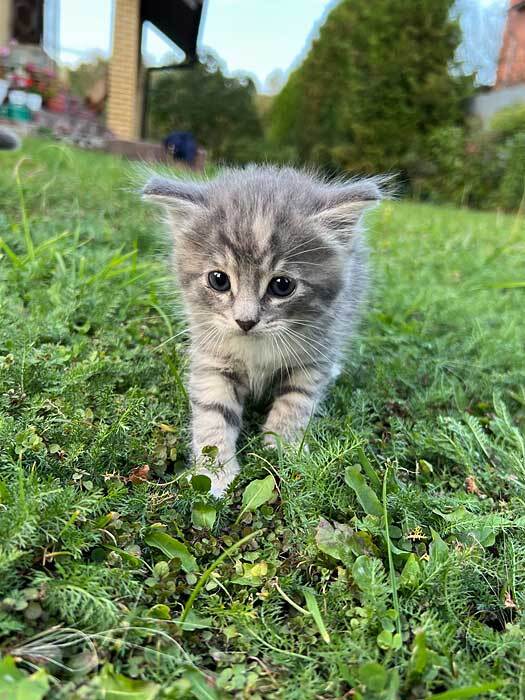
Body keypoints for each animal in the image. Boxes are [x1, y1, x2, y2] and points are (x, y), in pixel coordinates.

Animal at [143, 168, 380, 498]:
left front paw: (281, 450)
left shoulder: (314, 353)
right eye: (218, 280)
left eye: (282, 285)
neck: (256, 347)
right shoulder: (213, 359)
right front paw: (214, 472)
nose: (245, 321)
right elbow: (213, 412)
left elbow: (296, 402)